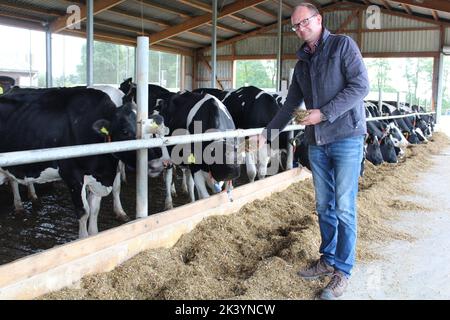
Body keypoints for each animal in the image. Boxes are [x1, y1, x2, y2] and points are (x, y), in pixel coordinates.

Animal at [0, 87, 167, 238]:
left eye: (151, 133)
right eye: (125, 131)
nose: (158, 164)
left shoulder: (98, 178)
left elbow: (94, 209)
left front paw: (94, 235)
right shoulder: (72, 176)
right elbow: (83, 211)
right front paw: (83, 239)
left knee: (14, 179)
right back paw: (20, 206)